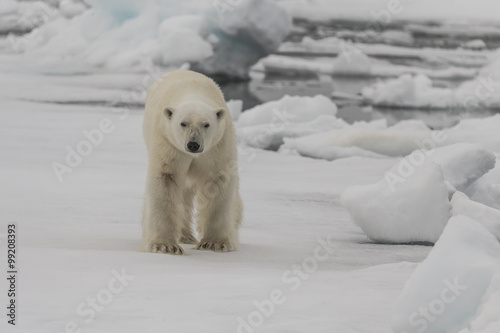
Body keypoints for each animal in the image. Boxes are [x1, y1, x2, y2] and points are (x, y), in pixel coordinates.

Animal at [141, 68, 242, 253]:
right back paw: (184, 236)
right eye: (183, 123)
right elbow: (167, 177)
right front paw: (165, 246)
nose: (193, 144)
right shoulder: (168, 141)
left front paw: (215, 242)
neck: (193, 91)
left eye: (206, 124)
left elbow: (217, 179)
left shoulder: (217, 146)